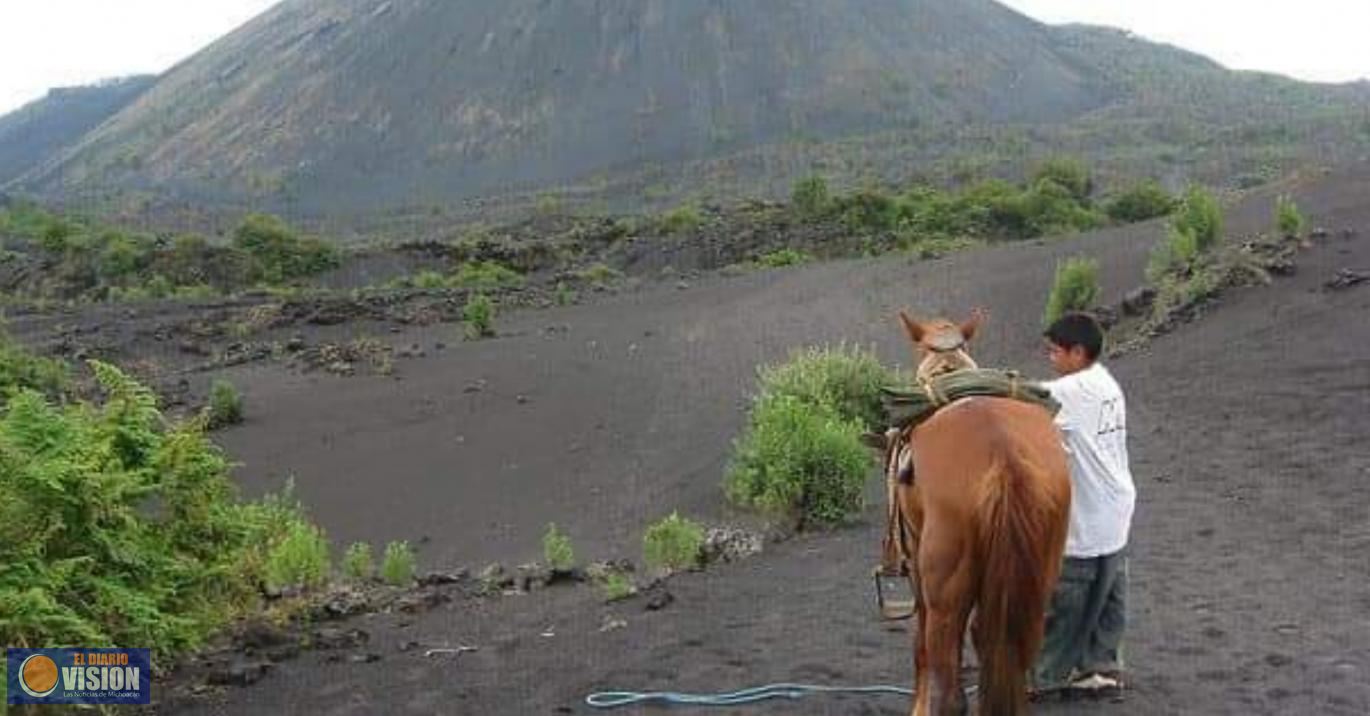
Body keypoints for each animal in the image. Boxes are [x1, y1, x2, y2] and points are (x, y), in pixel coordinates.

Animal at [876, 309, 1068, 716]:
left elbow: (921, 649)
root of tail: (1004, 456)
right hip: (1039, 577)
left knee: (950, 689)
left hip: (946, 589)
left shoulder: (918, 564)